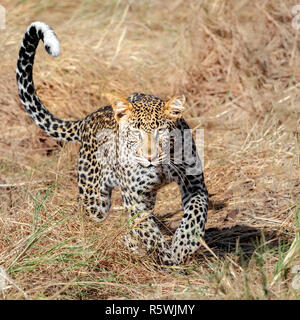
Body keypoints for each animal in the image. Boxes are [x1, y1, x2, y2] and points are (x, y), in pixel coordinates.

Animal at [15, 21, 209, 264]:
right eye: (135, 132)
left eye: (161, 131)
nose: (149, 157)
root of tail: (88, 118)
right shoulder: (134, 195)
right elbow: (145, 227)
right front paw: (164, 253)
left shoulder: (194, 184)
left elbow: (195, 214)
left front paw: (183, 247)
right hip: (94, 198)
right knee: (87, 214)